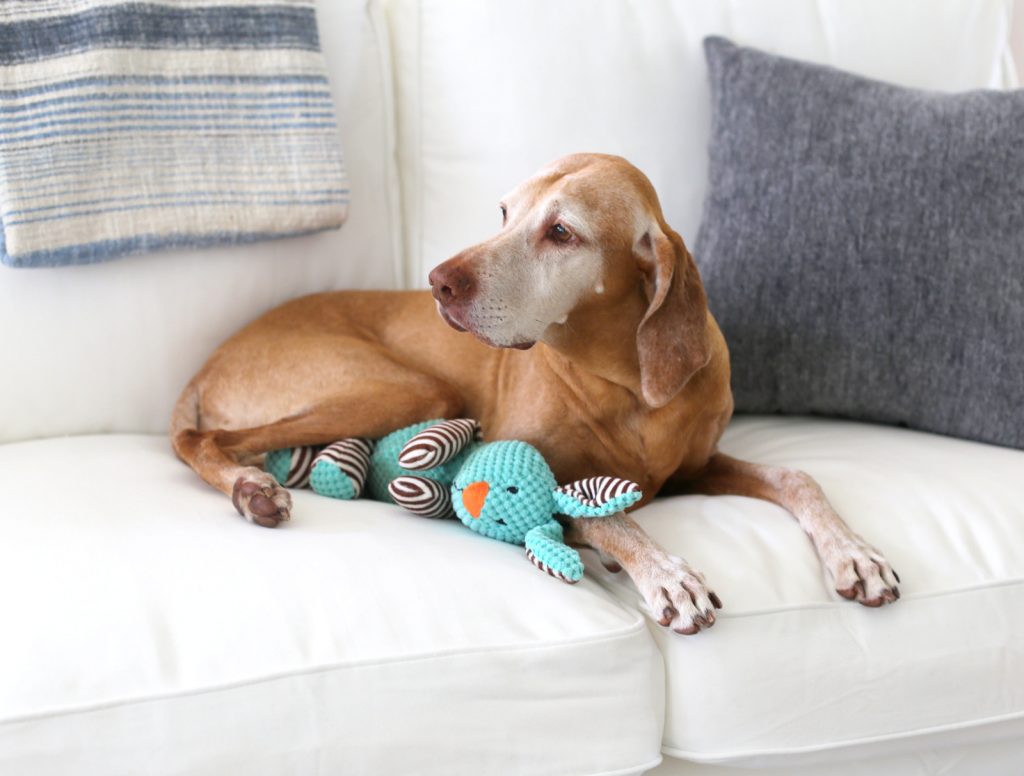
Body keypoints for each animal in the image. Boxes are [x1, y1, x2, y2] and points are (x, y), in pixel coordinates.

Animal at [171, 153, 899, 635]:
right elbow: (604, 514)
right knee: (201, 439)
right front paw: (665, 571)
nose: (437, 282)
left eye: (561, 233)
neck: (624, 382)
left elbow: (798, 476)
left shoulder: (698, 468)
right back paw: (250, 490)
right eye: (503, 213)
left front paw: (857, 554)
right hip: (415, 389)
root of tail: (211, 361)